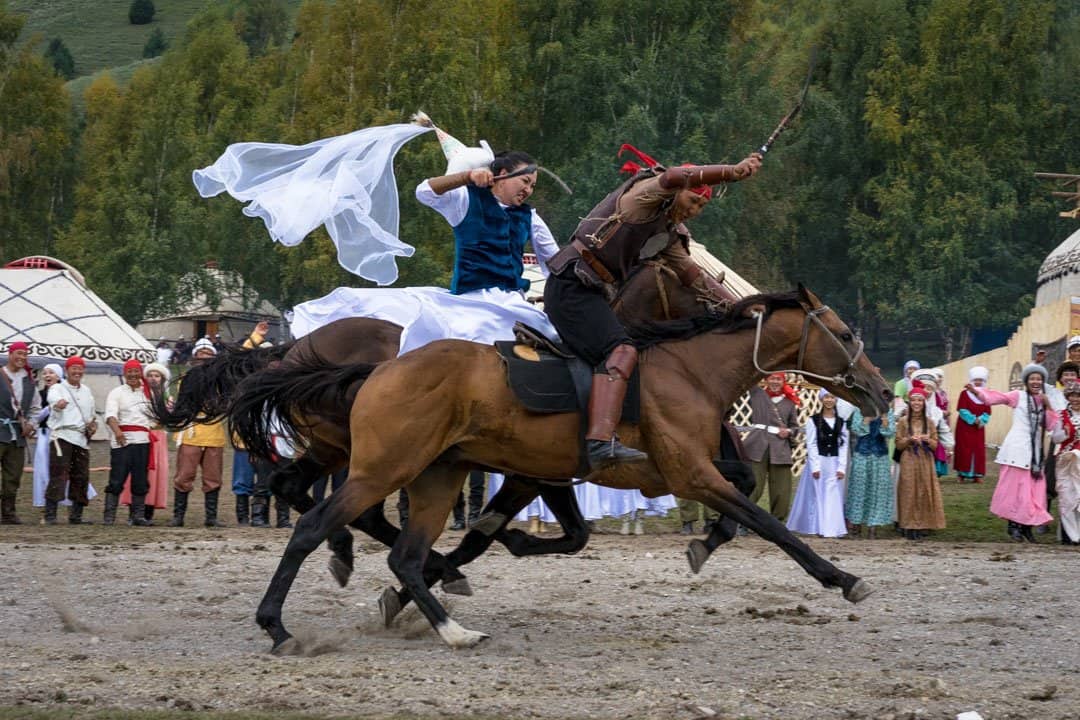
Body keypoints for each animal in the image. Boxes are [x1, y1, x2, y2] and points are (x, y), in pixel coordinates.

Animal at [245, 287, 894, 651]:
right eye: (842, 333)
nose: (883, 390)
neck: (688, 370)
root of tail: (378, 370)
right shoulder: (689, 474)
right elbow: (774, 526)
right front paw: (843, 579)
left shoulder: (552, 477)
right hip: (381, 469)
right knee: (316, 523)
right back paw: (278, 625)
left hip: (434, 475)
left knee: (400, 551)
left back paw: (452, 627)